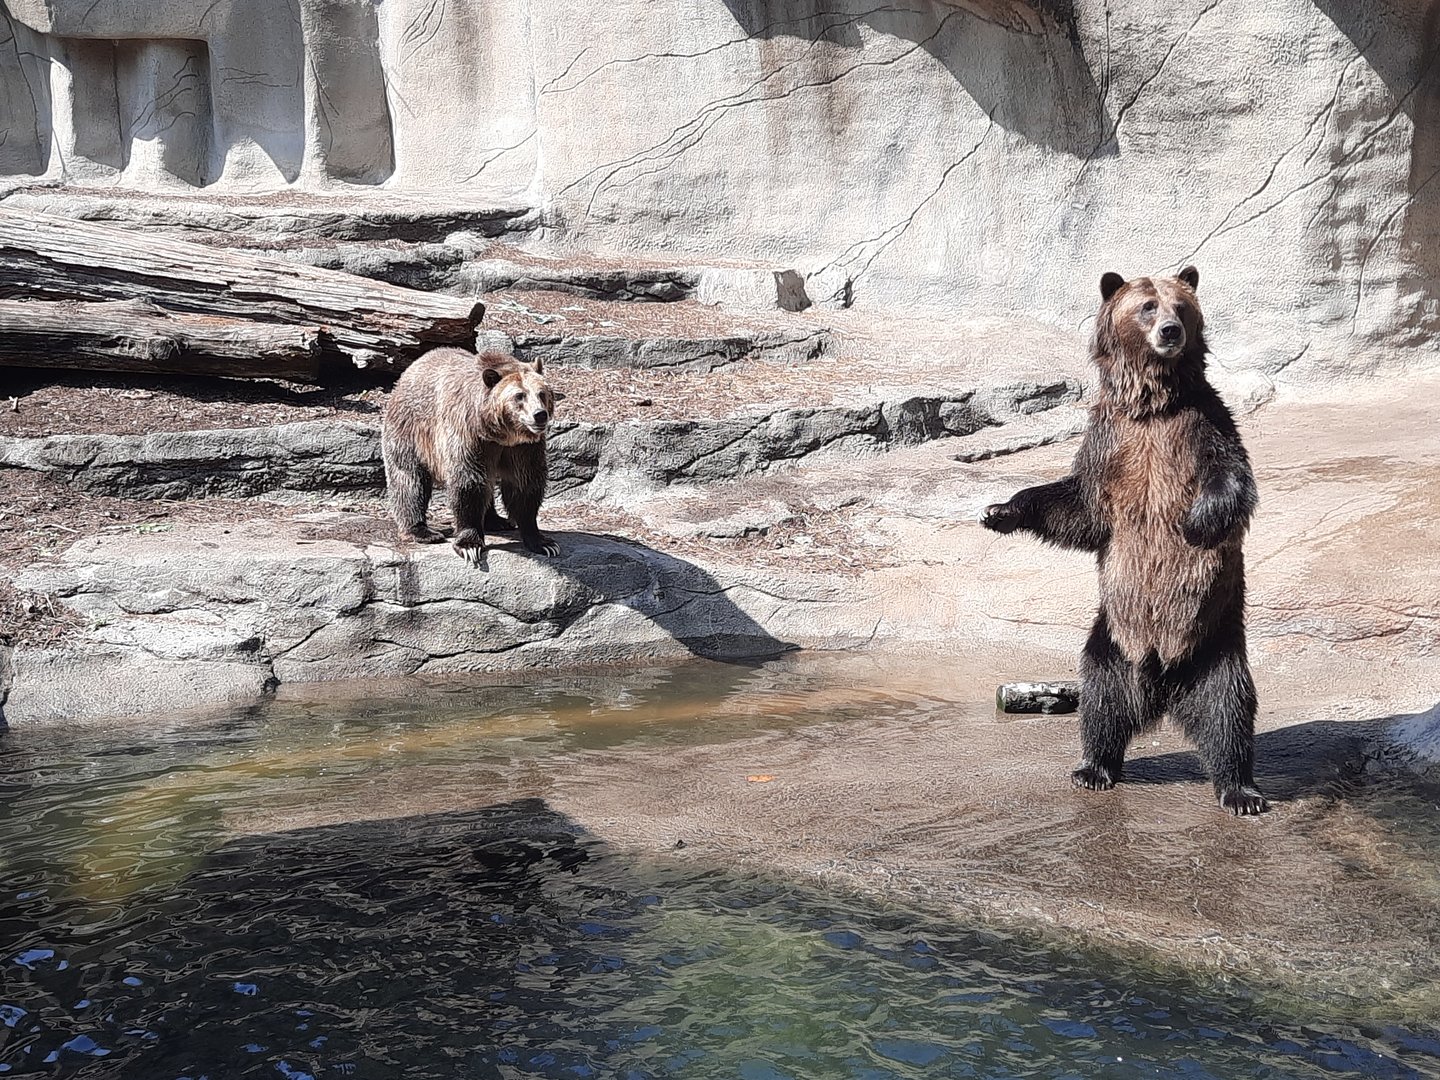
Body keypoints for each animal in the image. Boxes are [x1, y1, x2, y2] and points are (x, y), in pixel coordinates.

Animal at [381, 347, 559, 565]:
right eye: (520, 396)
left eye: (542, 393)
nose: (539, 415)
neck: (500, 435)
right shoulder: (468, 435)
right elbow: (469, 483)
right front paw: (469, 545)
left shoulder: (523, 448)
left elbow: (525, 484)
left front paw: (543, 542)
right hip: (408, 429)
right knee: (409, 479)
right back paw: (422, 531)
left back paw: (496, 521)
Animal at [981, 266, 1266, 816]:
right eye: (1148, 307)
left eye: (1181, 306)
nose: (1171, 331)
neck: (1152, 406)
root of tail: (1162, 682)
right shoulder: (1109, 441)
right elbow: (1082, 508)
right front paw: (999, 510)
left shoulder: (1203, 427)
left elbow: (1232, 482)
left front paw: (1196, 523)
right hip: (1112, 636)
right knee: (1102, 700)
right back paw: (1093, 767)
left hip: (1217, 641)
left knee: (1228, 710)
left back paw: (1239, 790)